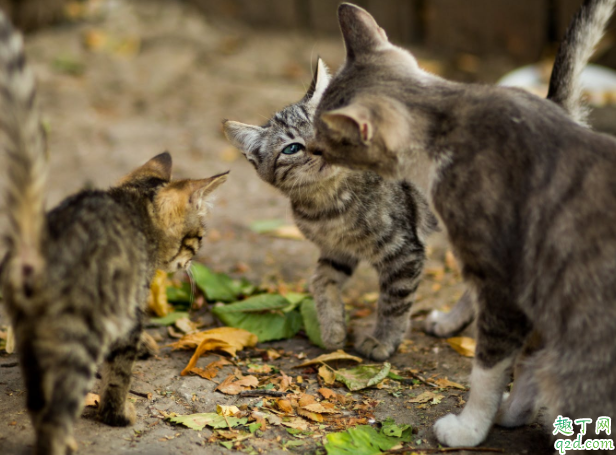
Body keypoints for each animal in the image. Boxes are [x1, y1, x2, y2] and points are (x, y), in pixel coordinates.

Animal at [0, 13, 227, 455]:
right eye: (198, 238)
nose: (193, 260)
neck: (133, 207)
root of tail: (36, 243)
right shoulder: (127, 308)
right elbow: (120, 374)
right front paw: (117, 414)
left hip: (29, 334)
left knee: (39, 400)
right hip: (78, 335)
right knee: (56, 410)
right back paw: (64, 442)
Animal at [223, 59, 438, 360]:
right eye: (291, 148)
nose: (320, 148)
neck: (329, 203)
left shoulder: (404, 251)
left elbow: (394, 301)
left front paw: (383, 340)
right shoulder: (336, 250)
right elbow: (320, 280)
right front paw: (332, 327)